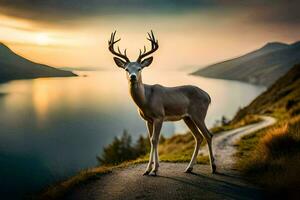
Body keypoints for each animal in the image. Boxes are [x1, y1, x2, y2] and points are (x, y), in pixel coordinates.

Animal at [108, 30, 216, 176]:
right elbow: (151, 140)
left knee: (208, 135)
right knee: (198, 137)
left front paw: (153, 169)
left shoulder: (159, 116)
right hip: (187, 117)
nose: (133, 77)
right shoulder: (148, 120)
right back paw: (189, 168)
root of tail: (208, 96)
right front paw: (150, 169)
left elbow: (155, 140)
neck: (146, 100)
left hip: (199, 114)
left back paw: (213, 168)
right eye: (126, 69)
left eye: (140, 68)